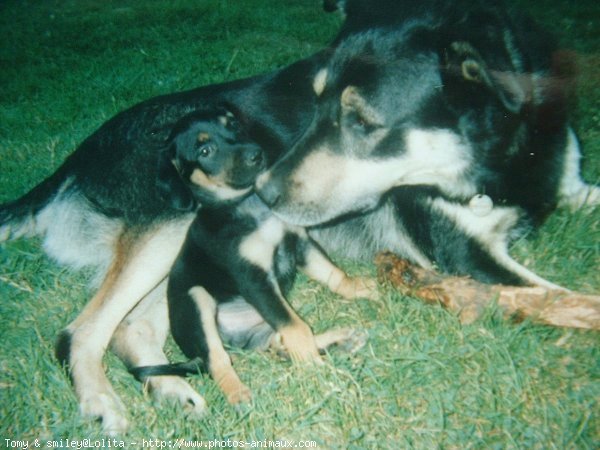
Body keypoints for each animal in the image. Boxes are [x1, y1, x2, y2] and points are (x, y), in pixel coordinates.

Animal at [135, 109, 376, 404]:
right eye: (205, 150)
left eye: (234, 126)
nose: (256, 154)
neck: (250, 207)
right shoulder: (253, 278)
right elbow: (295, 326)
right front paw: (311, 365)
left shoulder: (299, 243)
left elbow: (333, 275)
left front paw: (361, 288)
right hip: (197, 301)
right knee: (218, 359)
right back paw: (238, 392)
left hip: (259, 326)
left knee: (276, 342)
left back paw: (339, 340)